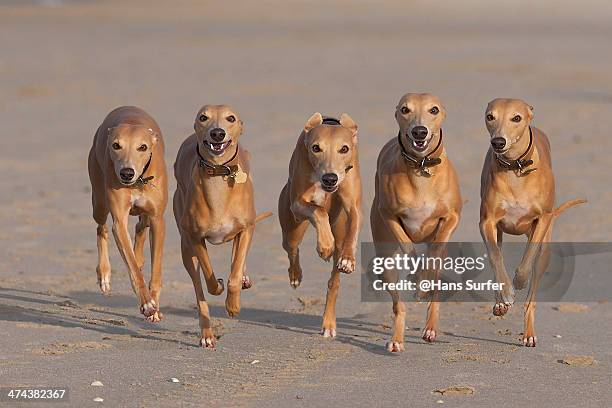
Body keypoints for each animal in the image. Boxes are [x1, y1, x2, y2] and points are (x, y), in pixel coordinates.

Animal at [86, 105, 167, 322]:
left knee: (141, 225)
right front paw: (147, 304)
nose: (126, 173)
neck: (138, 182)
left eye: (143, 147)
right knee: (102, 228)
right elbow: (132, 267)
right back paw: (104, 274)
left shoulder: (158, 220)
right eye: (116, 145)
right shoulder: (119, 223)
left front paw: (155, 306)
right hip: (99, 202)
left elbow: (156, 270)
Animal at [172, 104, 268, 348]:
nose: (217, 133)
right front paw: (219, 286)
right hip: (185, 247)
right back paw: (207, 335)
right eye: (203, 117)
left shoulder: (246, 228)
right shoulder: (195, 238)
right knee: (199, 292)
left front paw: (233, 306)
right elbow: (209, 277)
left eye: (230, 118)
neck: (218, 174)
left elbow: (234, 273)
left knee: (237, 261)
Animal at [278, 112, 360, 338]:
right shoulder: (298, 204)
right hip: (292, 227)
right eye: (316, 148)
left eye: (344, 148)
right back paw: (296, 275)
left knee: (334, 282)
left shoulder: (353, 205)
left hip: (338, 228)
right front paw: (324, 246)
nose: (330, 178)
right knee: (292, 249)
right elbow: (318, 211)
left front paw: (348, 259)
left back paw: (328, 324)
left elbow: (354, 225)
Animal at [370, 94, 462, 352]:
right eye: (405, 109)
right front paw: (417, 275)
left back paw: (430, 327)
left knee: (436, 286)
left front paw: (423, 280)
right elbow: (408, 246)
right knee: (398, 306)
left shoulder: (452, 216)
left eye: (434, 110)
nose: (419, 131)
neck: (421, 169)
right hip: (386, 263)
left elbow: (435, 252)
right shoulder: (388, 215)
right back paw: (397, 340)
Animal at [480, 99, 584, 348]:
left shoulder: (542, 220)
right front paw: (505, 294)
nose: (498, 142)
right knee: (497, 257)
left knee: (532, 295)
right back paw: (500, 303)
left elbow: (527, 260)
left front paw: (518, 281)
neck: (515, 168)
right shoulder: (487, 222)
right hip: (498, 233)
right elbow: (496, 258)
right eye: (490, 116)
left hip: (545, 246)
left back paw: (528, 333)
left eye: (516, 118)